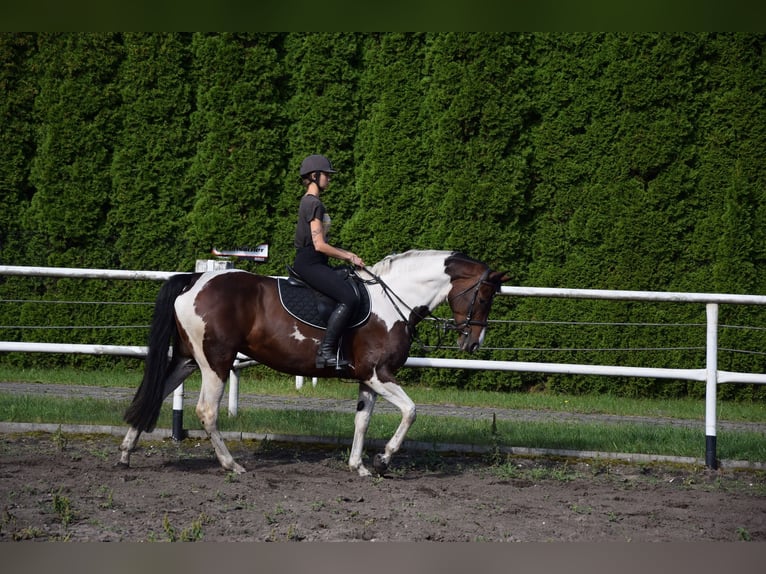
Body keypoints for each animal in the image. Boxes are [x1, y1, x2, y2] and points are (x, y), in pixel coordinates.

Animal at [118, 249, 509, 477]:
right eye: (484, 297)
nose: (473, 342)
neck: (392, 299)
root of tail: (196, 280)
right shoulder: (379, 374)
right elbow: (411, 411)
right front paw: (383, 460)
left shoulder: (367, 380)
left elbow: (362, 420)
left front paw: (359, 466)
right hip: (216, 362)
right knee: (206, 411)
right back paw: (232, 465)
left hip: (187, 359)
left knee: (155, 393)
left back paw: (125, 454)